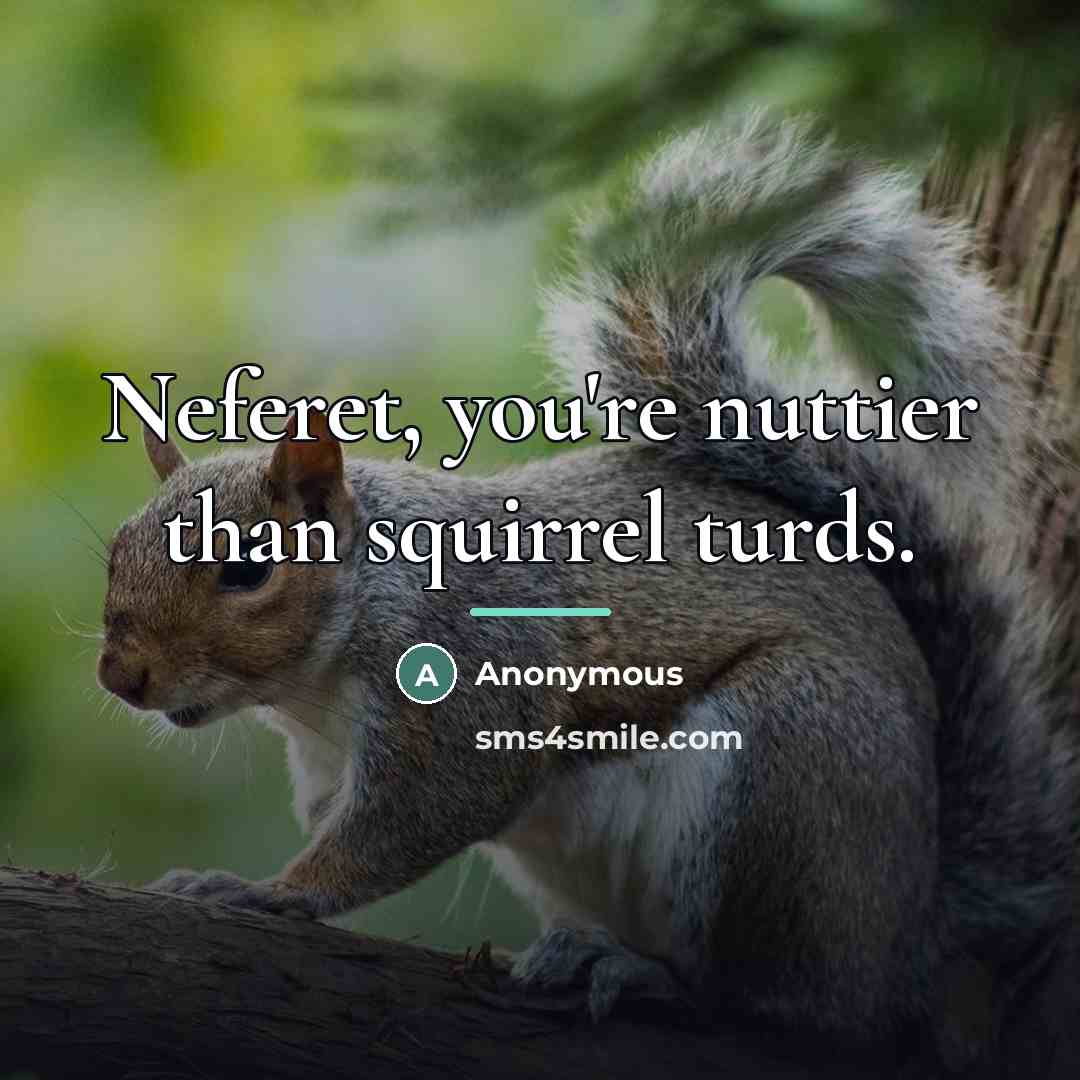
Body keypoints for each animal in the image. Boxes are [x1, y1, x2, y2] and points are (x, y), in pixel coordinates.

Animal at [97, 112, 1078, 1064]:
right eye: (116, 551)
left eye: (246, 568)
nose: (121, 676)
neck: (320, 681)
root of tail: (916, 931)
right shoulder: (329, 758)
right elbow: (332, 815)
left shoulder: (471, 676)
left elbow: (409, 823)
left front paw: (274, 893)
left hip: (792, 773)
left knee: (783, 1004)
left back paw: (657, 981)